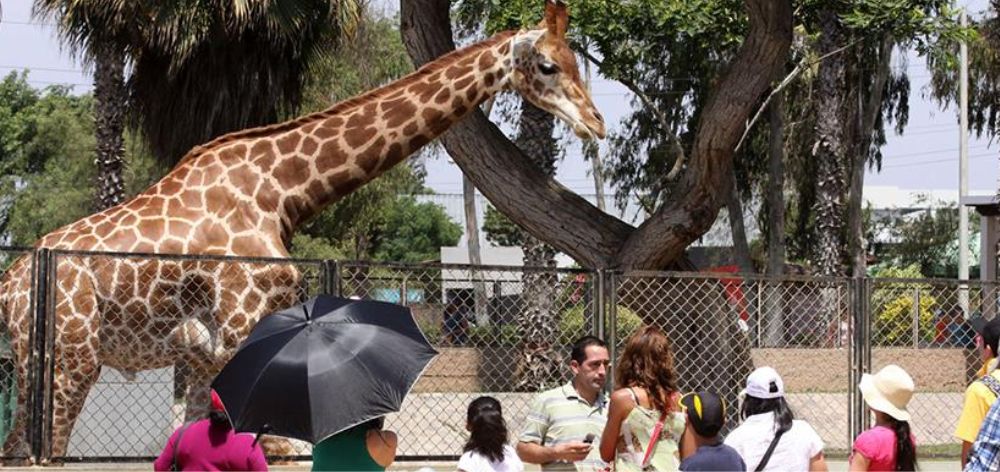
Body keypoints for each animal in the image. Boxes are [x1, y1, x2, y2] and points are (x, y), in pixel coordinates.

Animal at [0, 0, 600, 460]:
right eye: (548, 65)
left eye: (577, 61)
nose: (595, 122)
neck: (282, 190)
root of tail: (11, 282)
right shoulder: (238, 328)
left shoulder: (208, 351)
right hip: (70, 356)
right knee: (45, 447)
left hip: (32, 363)